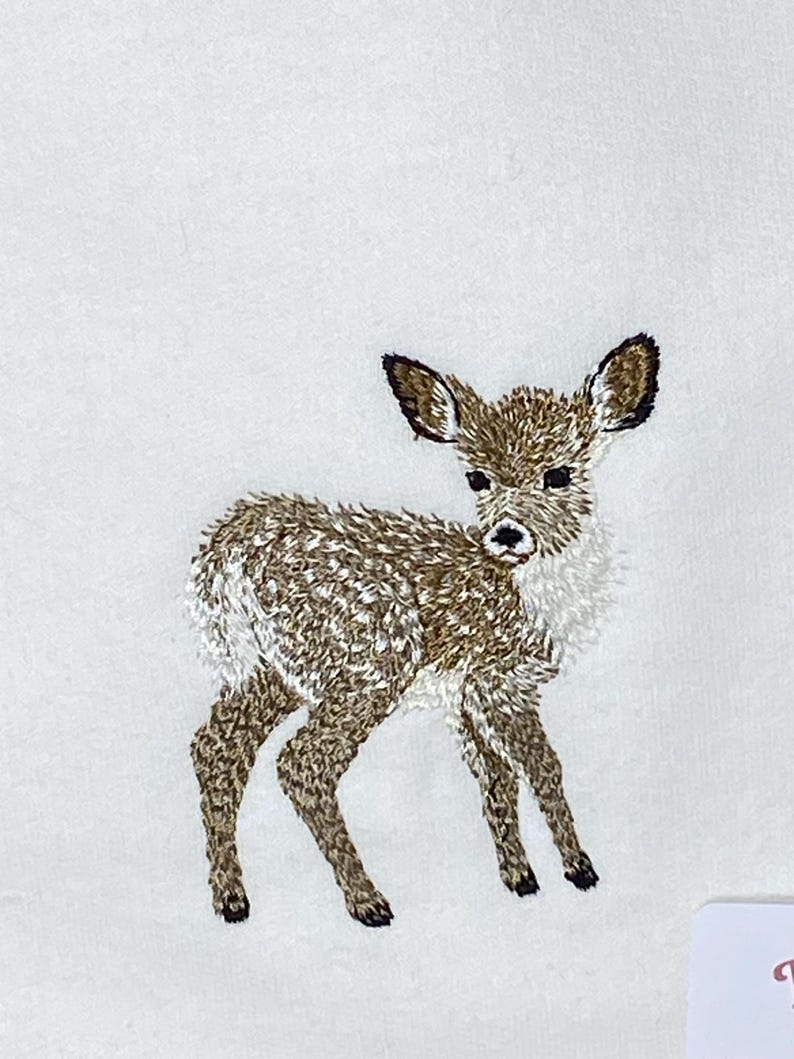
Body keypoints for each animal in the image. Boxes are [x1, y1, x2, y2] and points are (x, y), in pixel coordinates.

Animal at [187, 334, 660, 927]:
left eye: (559, 474)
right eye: (477, 478)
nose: (506, 533)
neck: (536, 601)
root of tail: (230, 547)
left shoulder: (466, 695)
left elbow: (498, 780)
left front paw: (520, 878)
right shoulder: (498, 677)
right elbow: (544, 767)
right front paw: (579, 869)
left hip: (272, 666)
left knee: (215, 747)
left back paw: (231, 900)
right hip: (370, 657)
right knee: (302, 764)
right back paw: (368, 903)